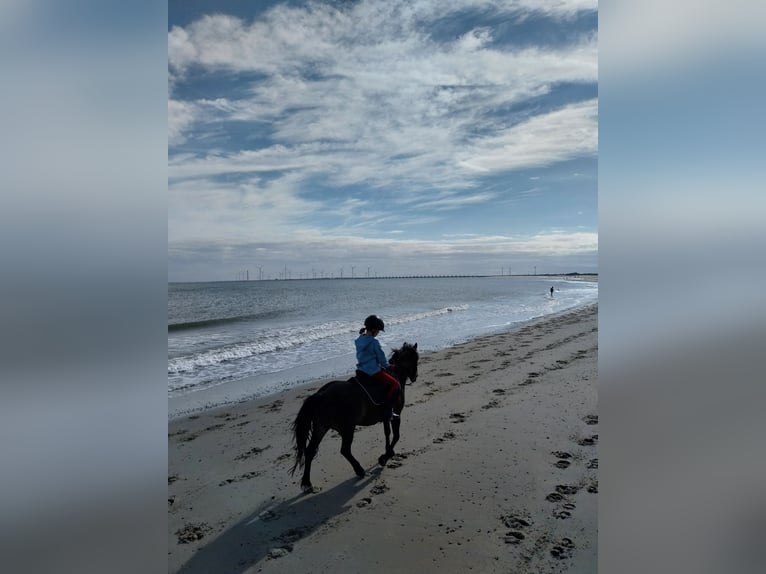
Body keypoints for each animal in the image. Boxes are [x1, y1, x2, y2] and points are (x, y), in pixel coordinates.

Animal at [290, 342, 419, 492]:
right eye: (415, 359)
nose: (415, 376)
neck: (395, 374)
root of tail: (320, 395)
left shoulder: (386, 417)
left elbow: (387, 434)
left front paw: (388, 452)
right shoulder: (396, 415)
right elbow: (396, 436)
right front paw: (384, 457)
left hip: (320, 427)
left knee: (310, 451)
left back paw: (307, 482)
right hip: (347, 428)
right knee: (345, 450)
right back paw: (359, 470)